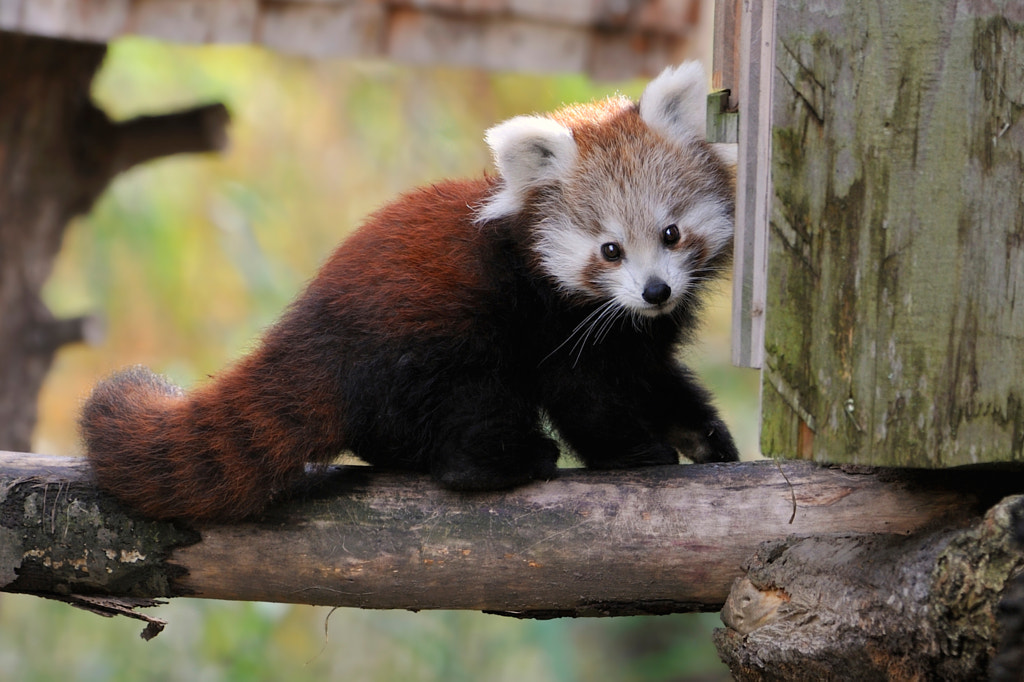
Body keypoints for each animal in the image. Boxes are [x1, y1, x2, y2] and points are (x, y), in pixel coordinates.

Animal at [79, 63, 737, 520]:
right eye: (609, 250)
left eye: (671, 233)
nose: (655, 291)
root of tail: (306, 331)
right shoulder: (551, 322)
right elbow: (585, 395)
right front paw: (636, 452)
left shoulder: (637, 338)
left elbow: (656, 378)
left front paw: (704, 436)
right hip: (432, 343)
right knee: (469, 407)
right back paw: (506, 460)